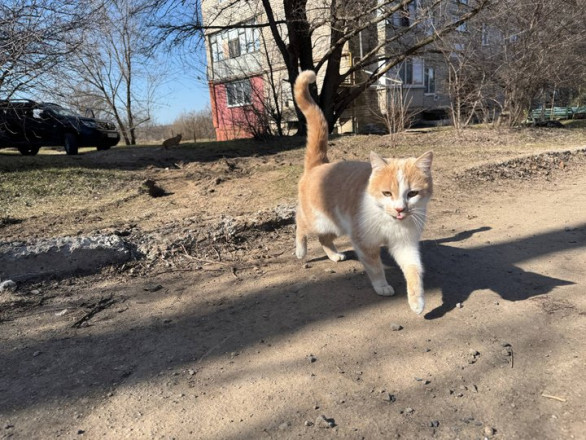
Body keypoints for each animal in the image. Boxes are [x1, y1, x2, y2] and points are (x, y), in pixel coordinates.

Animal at [293, 70, 433, 314]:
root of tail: (319, 165)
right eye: (387, 193)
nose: (400, 209)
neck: (388, 221)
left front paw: (417, 300)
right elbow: (375, 267)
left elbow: (414, 270)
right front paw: (382, 286)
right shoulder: (365, 243)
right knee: (300, 221)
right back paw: (301, 250)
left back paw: (334, 254)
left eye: (412, 194)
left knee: (324, 238)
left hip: (337, 225)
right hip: (318, 220)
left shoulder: (405, 244)